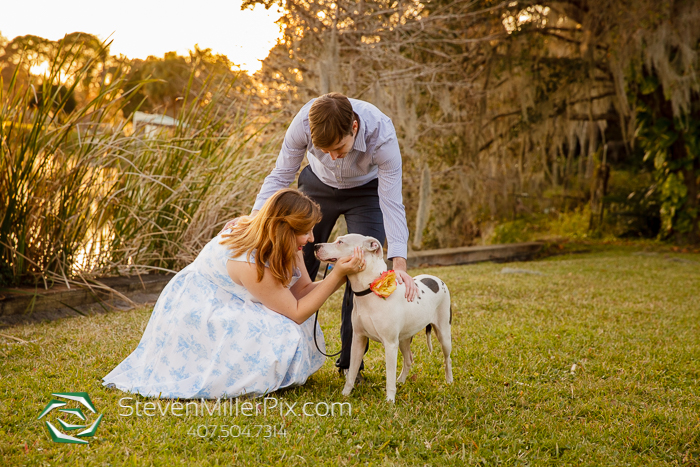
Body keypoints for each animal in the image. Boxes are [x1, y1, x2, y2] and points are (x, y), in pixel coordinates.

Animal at [314, 234, 454, 402]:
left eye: (340, 242)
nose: (315, 246)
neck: (368, 291)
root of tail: (436, 279)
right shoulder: (358, 340)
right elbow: (352, 370)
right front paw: (345, 394)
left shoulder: (390, 345)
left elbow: (389, 377)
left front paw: (390, 401)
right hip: (404, 339)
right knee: (408, 359)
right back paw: (401, 381)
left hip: (443, 334)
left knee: (447, 359)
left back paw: (449, 381)